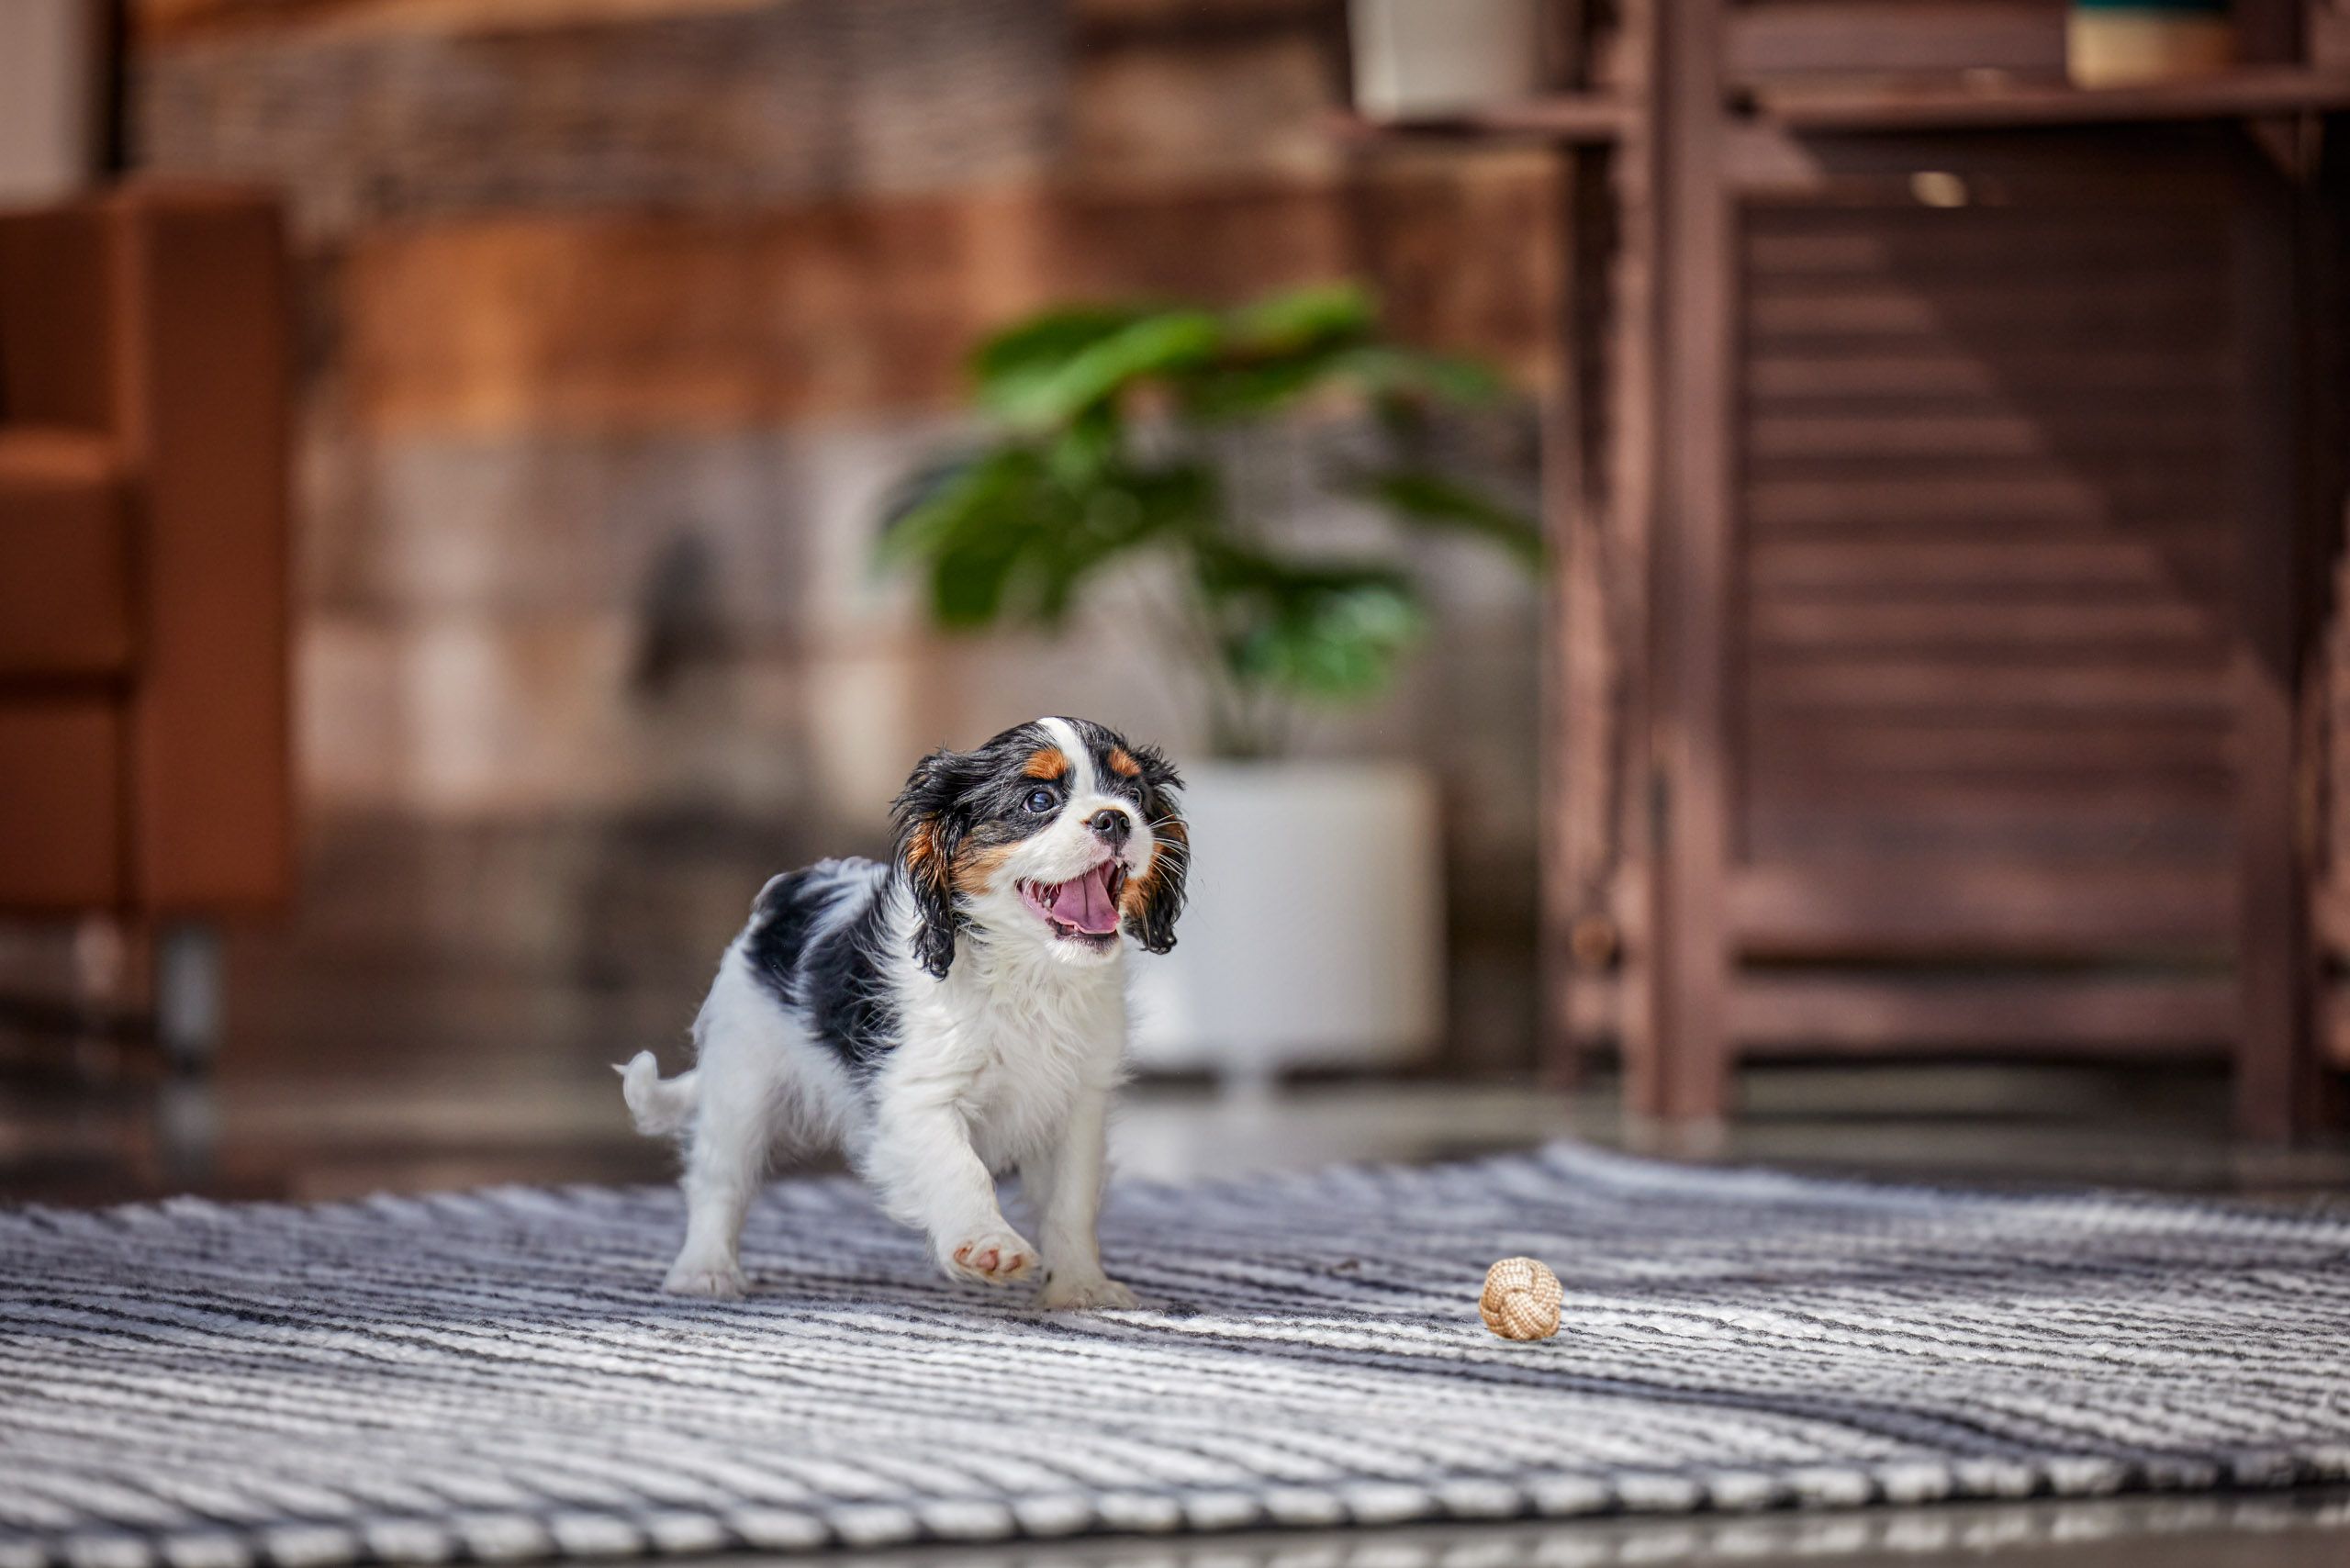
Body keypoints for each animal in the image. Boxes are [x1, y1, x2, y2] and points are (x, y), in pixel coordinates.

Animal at [620, 719, 1184, 1306]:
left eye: (1134, 795)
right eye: (1039, 801)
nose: (1115, 817)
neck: (1030, 972)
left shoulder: (1078, 1106)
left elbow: (1070, 1203)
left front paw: (1078, 1286)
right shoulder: (917, 1095)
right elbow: (960, 1167)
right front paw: (987, 1243)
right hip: (743, 1076)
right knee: (719, 1177)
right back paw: (704, 1269)